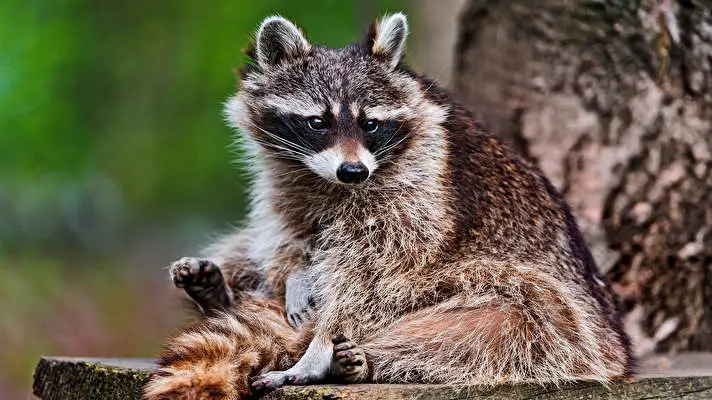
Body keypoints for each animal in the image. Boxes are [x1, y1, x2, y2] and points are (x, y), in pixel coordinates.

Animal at [143, 13, 634, 400]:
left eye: (371, 124)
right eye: (318, 122)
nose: (353, 171)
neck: (328, 181)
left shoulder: (416, 190)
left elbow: (375, 270)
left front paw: (319, 344)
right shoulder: (287, 177)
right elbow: (291, 233)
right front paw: (296, 275)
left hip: (566, 320)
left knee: (505, 324)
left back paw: (347, 357)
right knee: (249, 244)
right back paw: (221, 293)